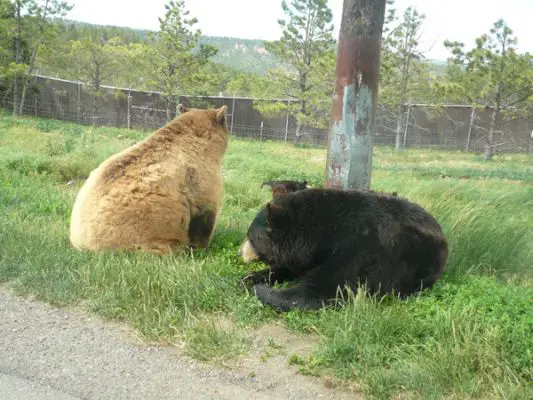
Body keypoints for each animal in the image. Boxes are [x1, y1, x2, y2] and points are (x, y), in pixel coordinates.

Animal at [239, 188, 446, 312]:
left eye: (250, 237)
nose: (240, 253)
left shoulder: (360, 246)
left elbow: (327, 287)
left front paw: (264, 290)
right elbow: (293, 267)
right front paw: (251, 277)